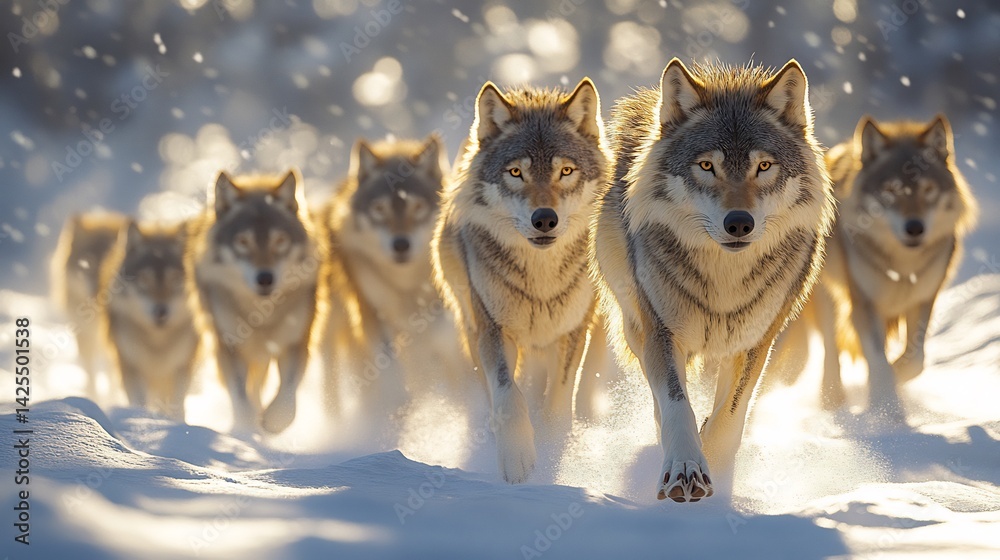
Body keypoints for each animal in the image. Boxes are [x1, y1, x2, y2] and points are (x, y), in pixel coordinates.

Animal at [100, 220, 200, 420]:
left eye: (173, 279)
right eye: (145, 280)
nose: (161, 311)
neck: (157, 342)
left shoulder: (181, 367)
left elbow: (177, 405)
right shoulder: (130, 366)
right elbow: (140, 402)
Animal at [188, 170, 320, 433]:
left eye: (279, 240)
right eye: (243, 242)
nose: (265, 278)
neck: (262, 315)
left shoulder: (297, 342)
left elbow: (287, 394)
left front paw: (274, 421)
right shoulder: (228, 346)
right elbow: (241, 398)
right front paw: (246, 431)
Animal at [432, 78, 609, 483]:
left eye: (565, 171)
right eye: (516, 173)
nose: (544, 219)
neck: (540, 279)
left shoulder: (572, 331)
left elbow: (558, 401)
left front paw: (554, 453)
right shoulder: (493, 329)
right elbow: (508, 395)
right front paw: (517, 460)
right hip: (470, 322)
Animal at [592, 59, 835, 501]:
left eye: (763, 165)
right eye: (707, 165)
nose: (739, 223)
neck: (725, 280)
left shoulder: (758, 340)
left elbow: (731, 417)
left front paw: (716, 470)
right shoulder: (661, 331)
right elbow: (676, 405)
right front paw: (685, 468)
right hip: (635, 323)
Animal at [780, 115, 977, 416]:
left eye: (928, 190)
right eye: (891, 190)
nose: (915, 228)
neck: (902, 266)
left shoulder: (923, 299)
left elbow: (915, 359)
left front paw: (896, 377)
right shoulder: (864, 303)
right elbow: (876, 358)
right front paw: (888, 409)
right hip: (828, 297)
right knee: (830, 345)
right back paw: (833, 396)